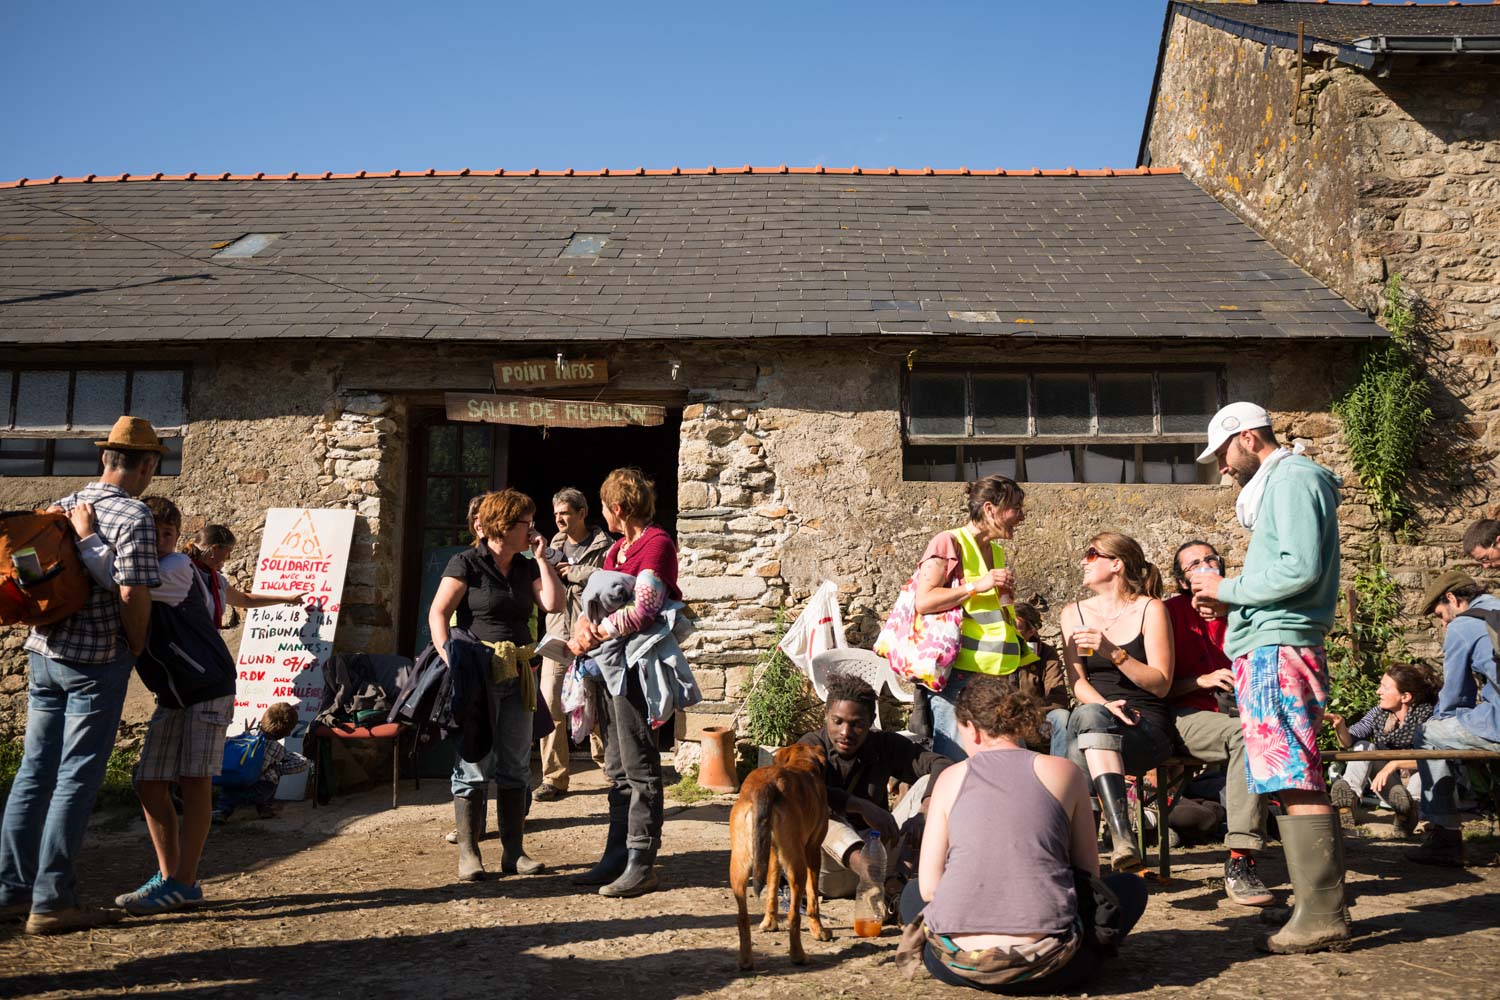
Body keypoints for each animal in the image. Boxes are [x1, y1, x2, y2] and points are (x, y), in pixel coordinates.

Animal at [729, 743, 834, 971]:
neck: (802, 763)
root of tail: (765, 785)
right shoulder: (813, 850)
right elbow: (813, 898)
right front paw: (819, 930)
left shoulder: (773, 853)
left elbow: (772, 889)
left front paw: (770, 924)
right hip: (798, 865)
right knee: (794, 914)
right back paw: (798, 956)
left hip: (739, 865)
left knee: (742, 918)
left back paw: (746, 961)